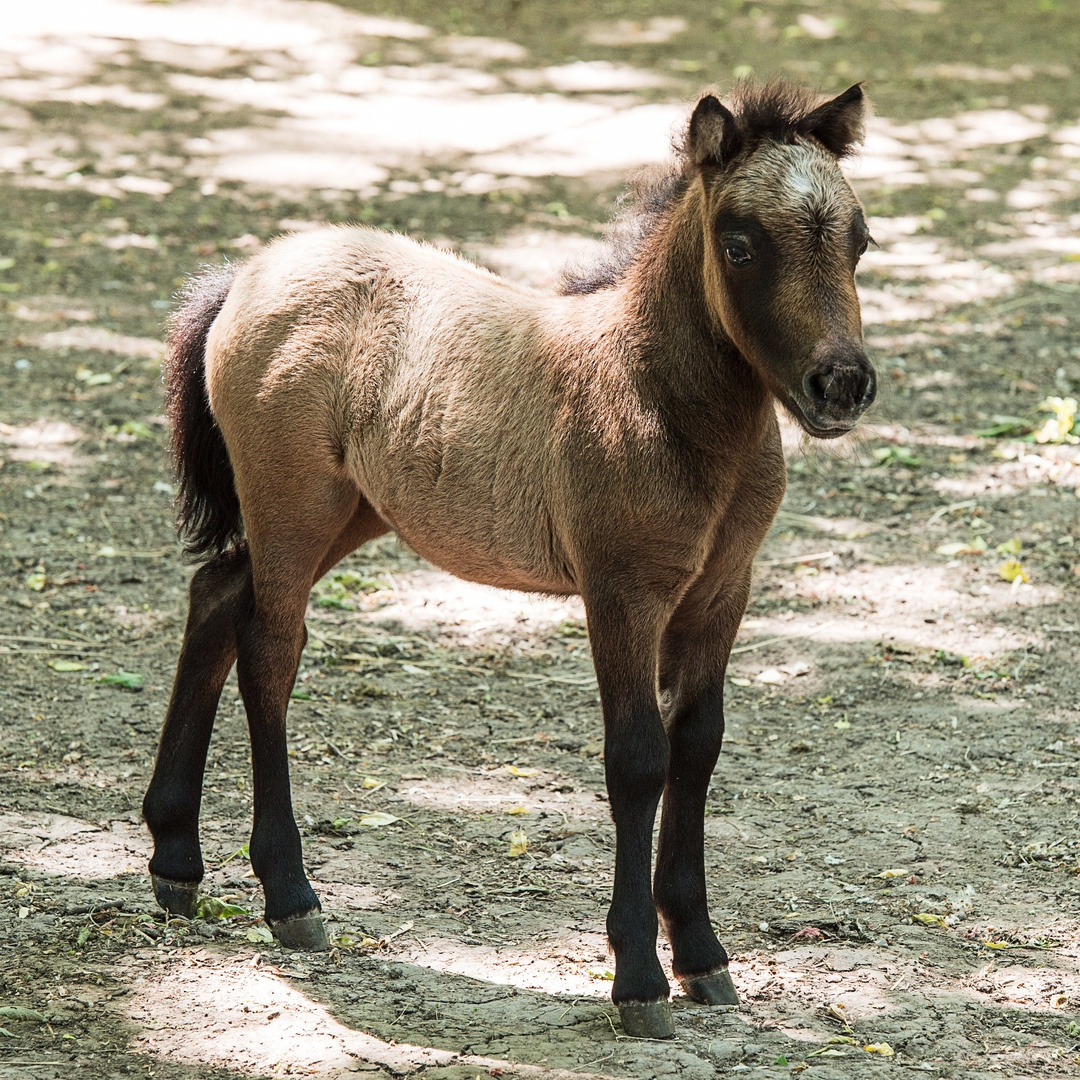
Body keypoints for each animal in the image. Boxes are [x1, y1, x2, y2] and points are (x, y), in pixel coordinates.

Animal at [143, 78, 876, 1036]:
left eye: (860, 240)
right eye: (742, 244)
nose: (843, 384)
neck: (657, 398)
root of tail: (249, 273)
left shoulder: (723, 590)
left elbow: (698, 744)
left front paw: (702, 954)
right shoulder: (622, 591)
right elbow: (637, 758)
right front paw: (638, 978)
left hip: (350, 511)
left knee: (217, 594)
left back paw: (174, 859)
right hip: (292, 504)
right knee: (269, 651)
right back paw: (290, 894)